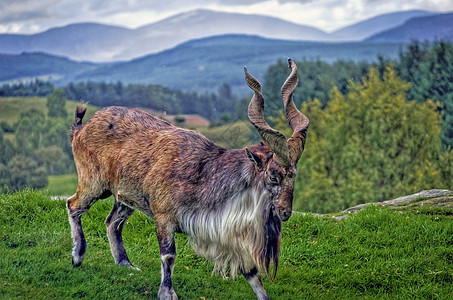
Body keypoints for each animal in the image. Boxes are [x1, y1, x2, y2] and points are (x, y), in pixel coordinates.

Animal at [66, 59, 308, 300]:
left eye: (294, 176)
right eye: (273, 177)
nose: (285, 213)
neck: (205, 175)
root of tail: (81, 129)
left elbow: (250, 271)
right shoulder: (164, 217)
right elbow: (169, 255)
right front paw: (167, 292)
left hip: (125, 196)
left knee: (112, 222)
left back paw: (125, 264)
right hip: (93, 183)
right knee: (73, 205)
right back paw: (78, 256)